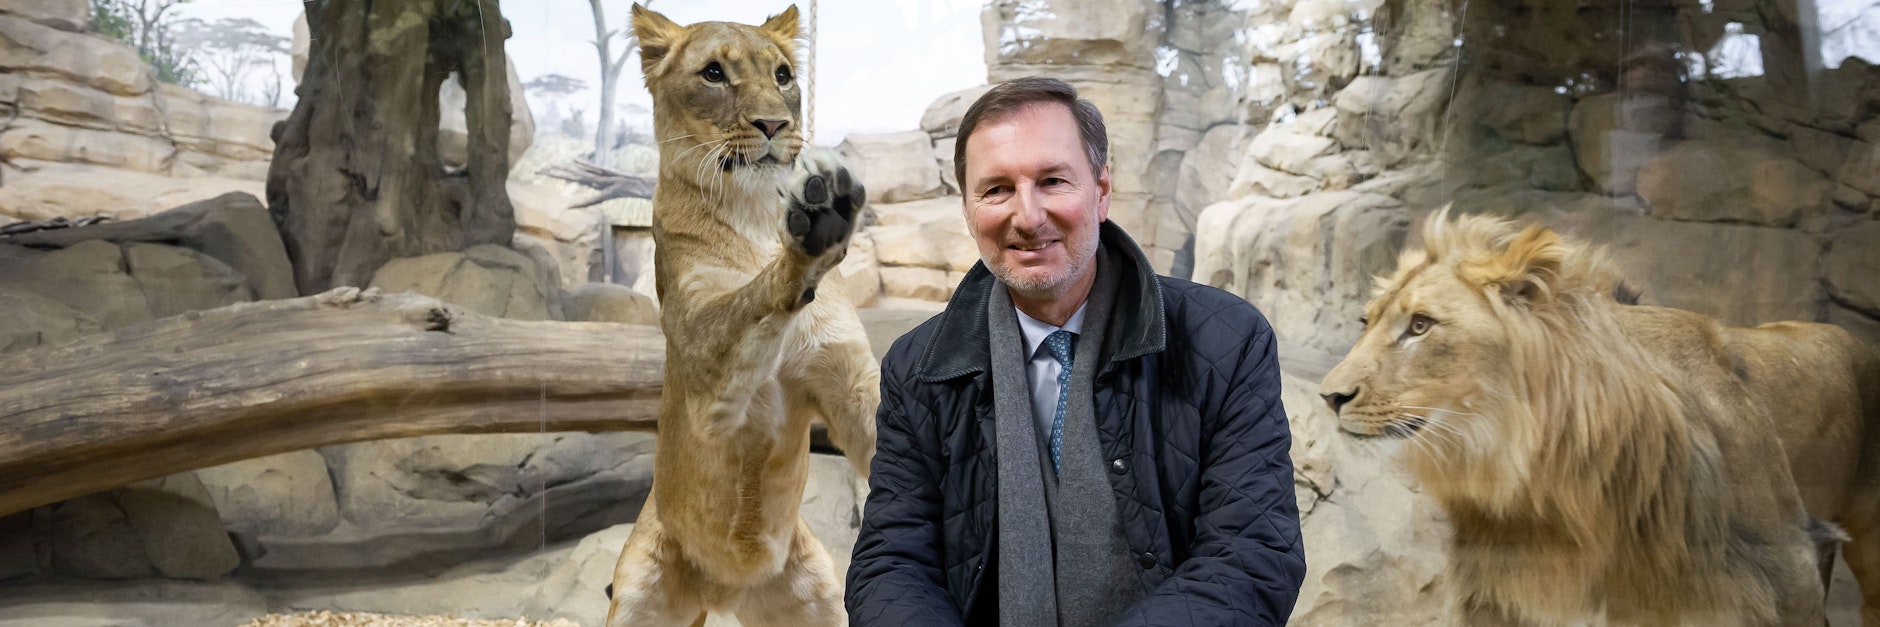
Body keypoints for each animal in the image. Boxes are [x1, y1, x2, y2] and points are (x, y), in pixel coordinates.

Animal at [604, 5, 879, 626]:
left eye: (783, 76)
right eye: (713, 73)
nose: (774, 125)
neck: (754, 215)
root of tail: (722, 592)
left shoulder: (849, 382)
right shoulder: (703, 366)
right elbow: (747, 303)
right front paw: (814, 222)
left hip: (818, 597)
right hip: (635, 592)